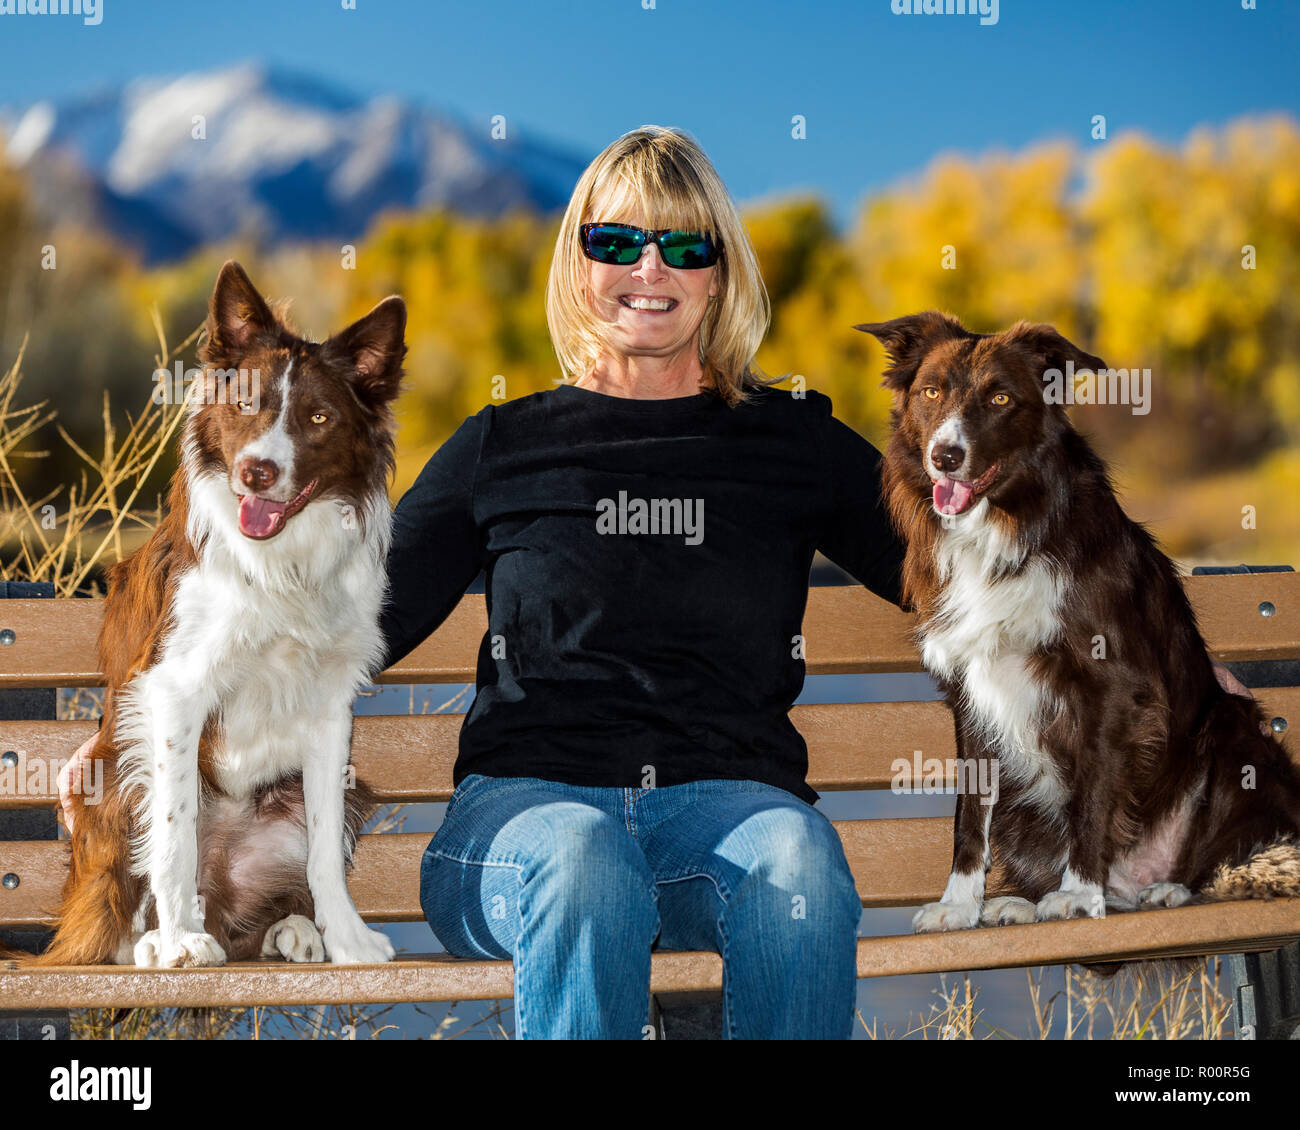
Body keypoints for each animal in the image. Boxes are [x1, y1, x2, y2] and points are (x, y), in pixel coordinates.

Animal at [40, 260, 403, 967]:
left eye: (319, 417)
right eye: (243, 406)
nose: (258, 471)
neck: (282, 563)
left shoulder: (331, 709)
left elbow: (324, 852)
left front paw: (346, 938)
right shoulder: (174, 688)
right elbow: (174, 836)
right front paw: (181, 941)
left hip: (337, 792)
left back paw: (295, 929)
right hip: (111, 771)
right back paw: (157, 939)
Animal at [852, 313, 1300, 931]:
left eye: (1000, 397)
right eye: (931, 393)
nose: (945, 456)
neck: (1007, 525)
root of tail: (1131, 881)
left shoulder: (1109, 689)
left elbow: (1093, 798)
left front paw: (1080, 894)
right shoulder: (971, 695)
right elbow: (969, 815)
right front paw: (961, 904)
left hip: (1232, 729)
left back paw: (1168, 889)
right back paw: (1022, 901)